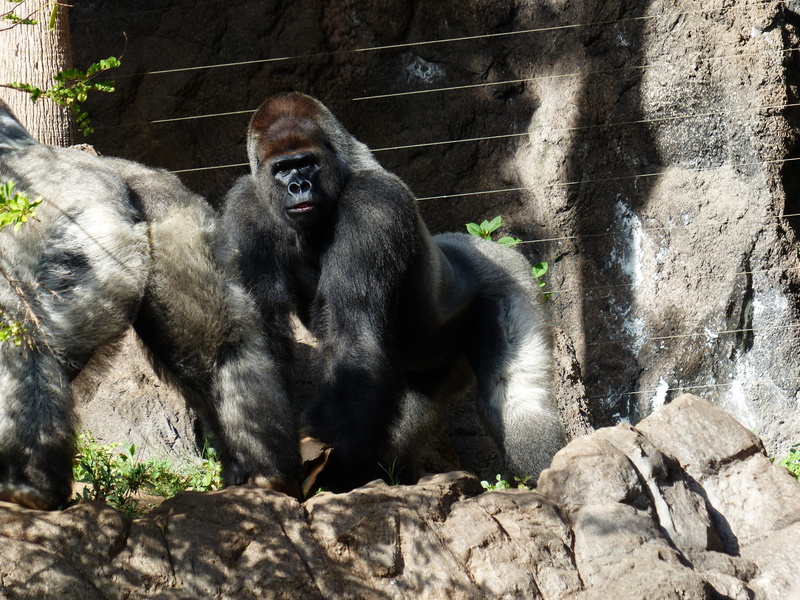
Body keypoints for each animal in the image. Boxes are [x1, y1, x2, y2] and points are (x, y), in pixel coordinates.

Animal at [0, 101, 301, 510]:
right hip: (179, 228)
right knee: (222, 353)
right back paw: (265, 470)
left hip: (73, 243)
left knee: (22, 338)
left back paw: (30, 485)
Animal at [222, 92, 565, 491]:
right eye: (282, 169)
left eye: (306, 163)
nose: (298, 186)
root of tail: (481, 243)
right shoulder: (245, 208)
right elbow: (260, 337)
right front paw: (260, 458)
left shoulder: (374, 206)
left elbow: (355, 339)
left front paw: (331, 468)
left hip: (512, 276)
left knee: (514, 396)